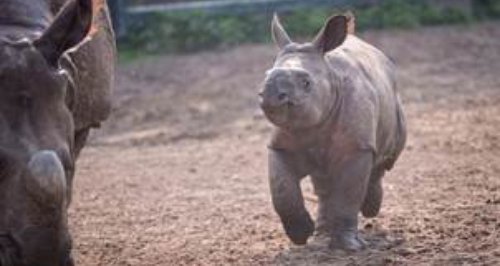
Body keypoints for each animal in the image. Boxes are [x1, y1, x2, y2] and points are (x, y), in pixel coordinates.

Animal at [262, 13, 406, 251]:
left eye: (306, 83)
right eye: (265, 76)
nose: (270, 96)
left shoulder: (356, 147)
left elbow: (348, 193)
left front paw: (348, 246)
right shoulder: (281, 144)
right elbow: (281, 189)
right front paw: (300, 235)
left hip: (394, 103)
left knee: (384, 158)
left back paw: (370, 209)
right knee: (323, 183)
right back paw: (320, 235)